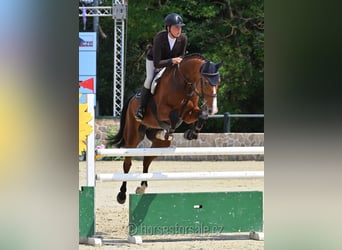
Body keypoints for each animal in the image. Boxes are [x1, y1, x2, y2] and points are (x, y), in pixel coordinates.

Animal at [108, 53, 223, 203]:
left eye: (219, 81)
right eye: (205, 82)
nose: (212, 109)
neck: (184, 83)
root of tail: (132, 98)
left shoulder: (189, 113)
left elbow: (201, 115)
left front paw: (191, 133)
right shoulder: (162, 111)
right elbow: (174, 115)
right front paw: (174, 129)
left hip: (158, 141)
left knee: (147, 159)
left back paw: (142, 186)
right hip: (133, 135)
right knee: (127, 163)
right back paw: (122, 195)